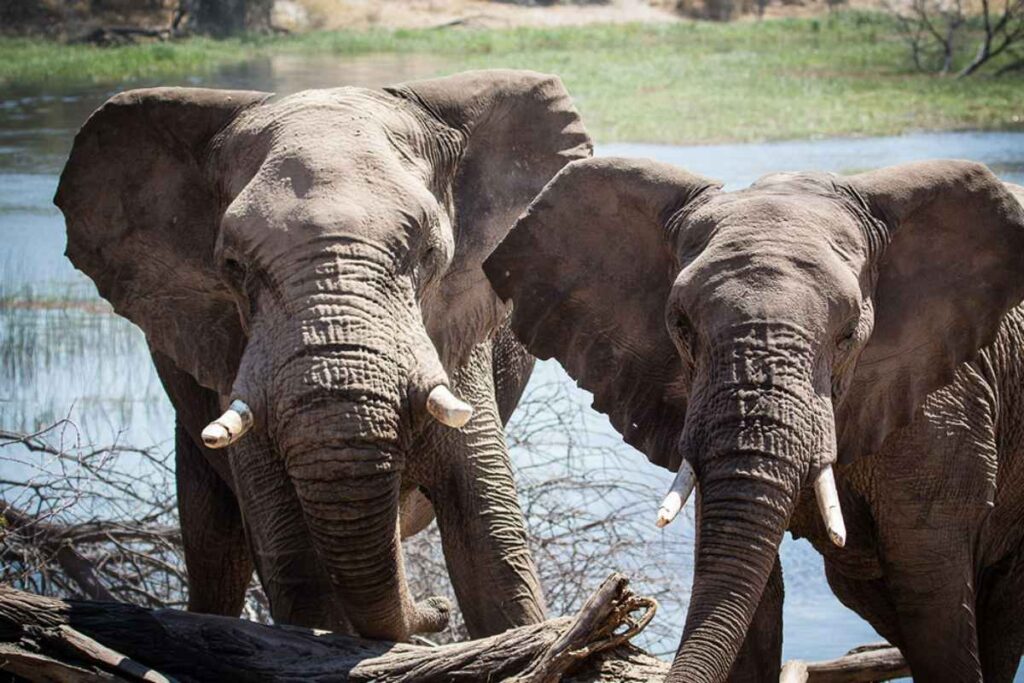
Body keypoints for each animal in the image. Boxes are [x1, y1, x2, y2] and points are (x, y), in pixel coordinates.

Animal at [54, 70, 592, 641]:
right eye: (233, 266)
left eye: (429, 254)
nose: (437, 608)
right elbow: (297, 567)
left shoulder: (456, 332)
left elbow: (491, 547)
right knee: (214, 552)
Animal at [483, 156, 1024, 682]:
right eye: (680, 325)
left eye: (849, 334)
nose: (625, 600)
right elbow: (750, 602)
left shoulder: (949, 412)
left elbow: (932, 602)